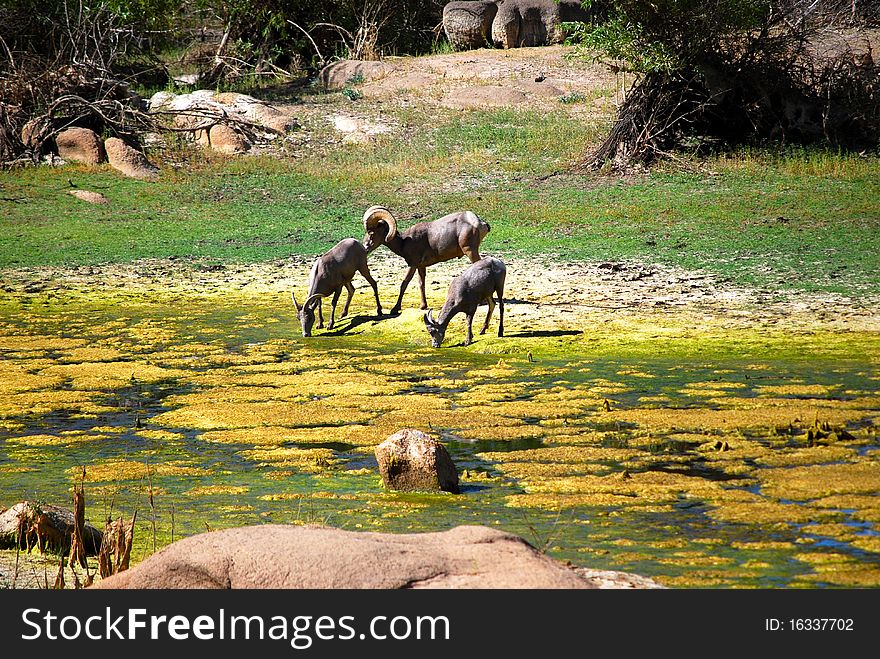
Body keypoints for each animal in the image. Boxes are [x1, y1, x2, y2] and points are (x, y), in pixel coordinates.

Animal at [360, 205, 492, 316]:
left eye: (372, 233)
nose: (365, 247)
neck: (404, 242)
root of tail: (480, 223)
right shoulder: (421, 267)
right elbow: (421, 284)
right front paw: (423, 306)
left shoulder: (412, 265)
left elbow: (404, 284)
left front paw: (395, 309)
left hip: (470, 251)